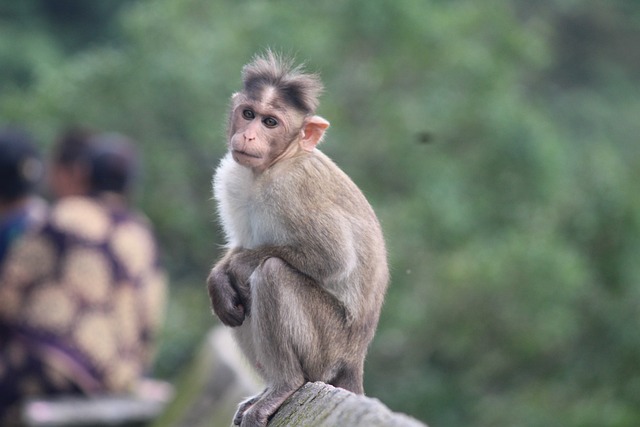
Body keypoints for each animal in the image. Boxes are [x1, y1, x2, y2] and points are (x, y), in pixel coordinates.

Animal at [208, 51, 388, 427]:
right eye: (248, 114)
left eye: (270, 122)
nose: (249, 136)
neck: (271, 167)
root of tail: (354, 359)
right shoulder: (232, 177)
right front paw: (218, 278)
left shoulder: (294, 189)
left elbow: (333, 258)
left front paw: (234, 266)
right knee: (240, 300)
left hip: (327, 348)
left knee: (271, 274)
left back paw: (285, 385)